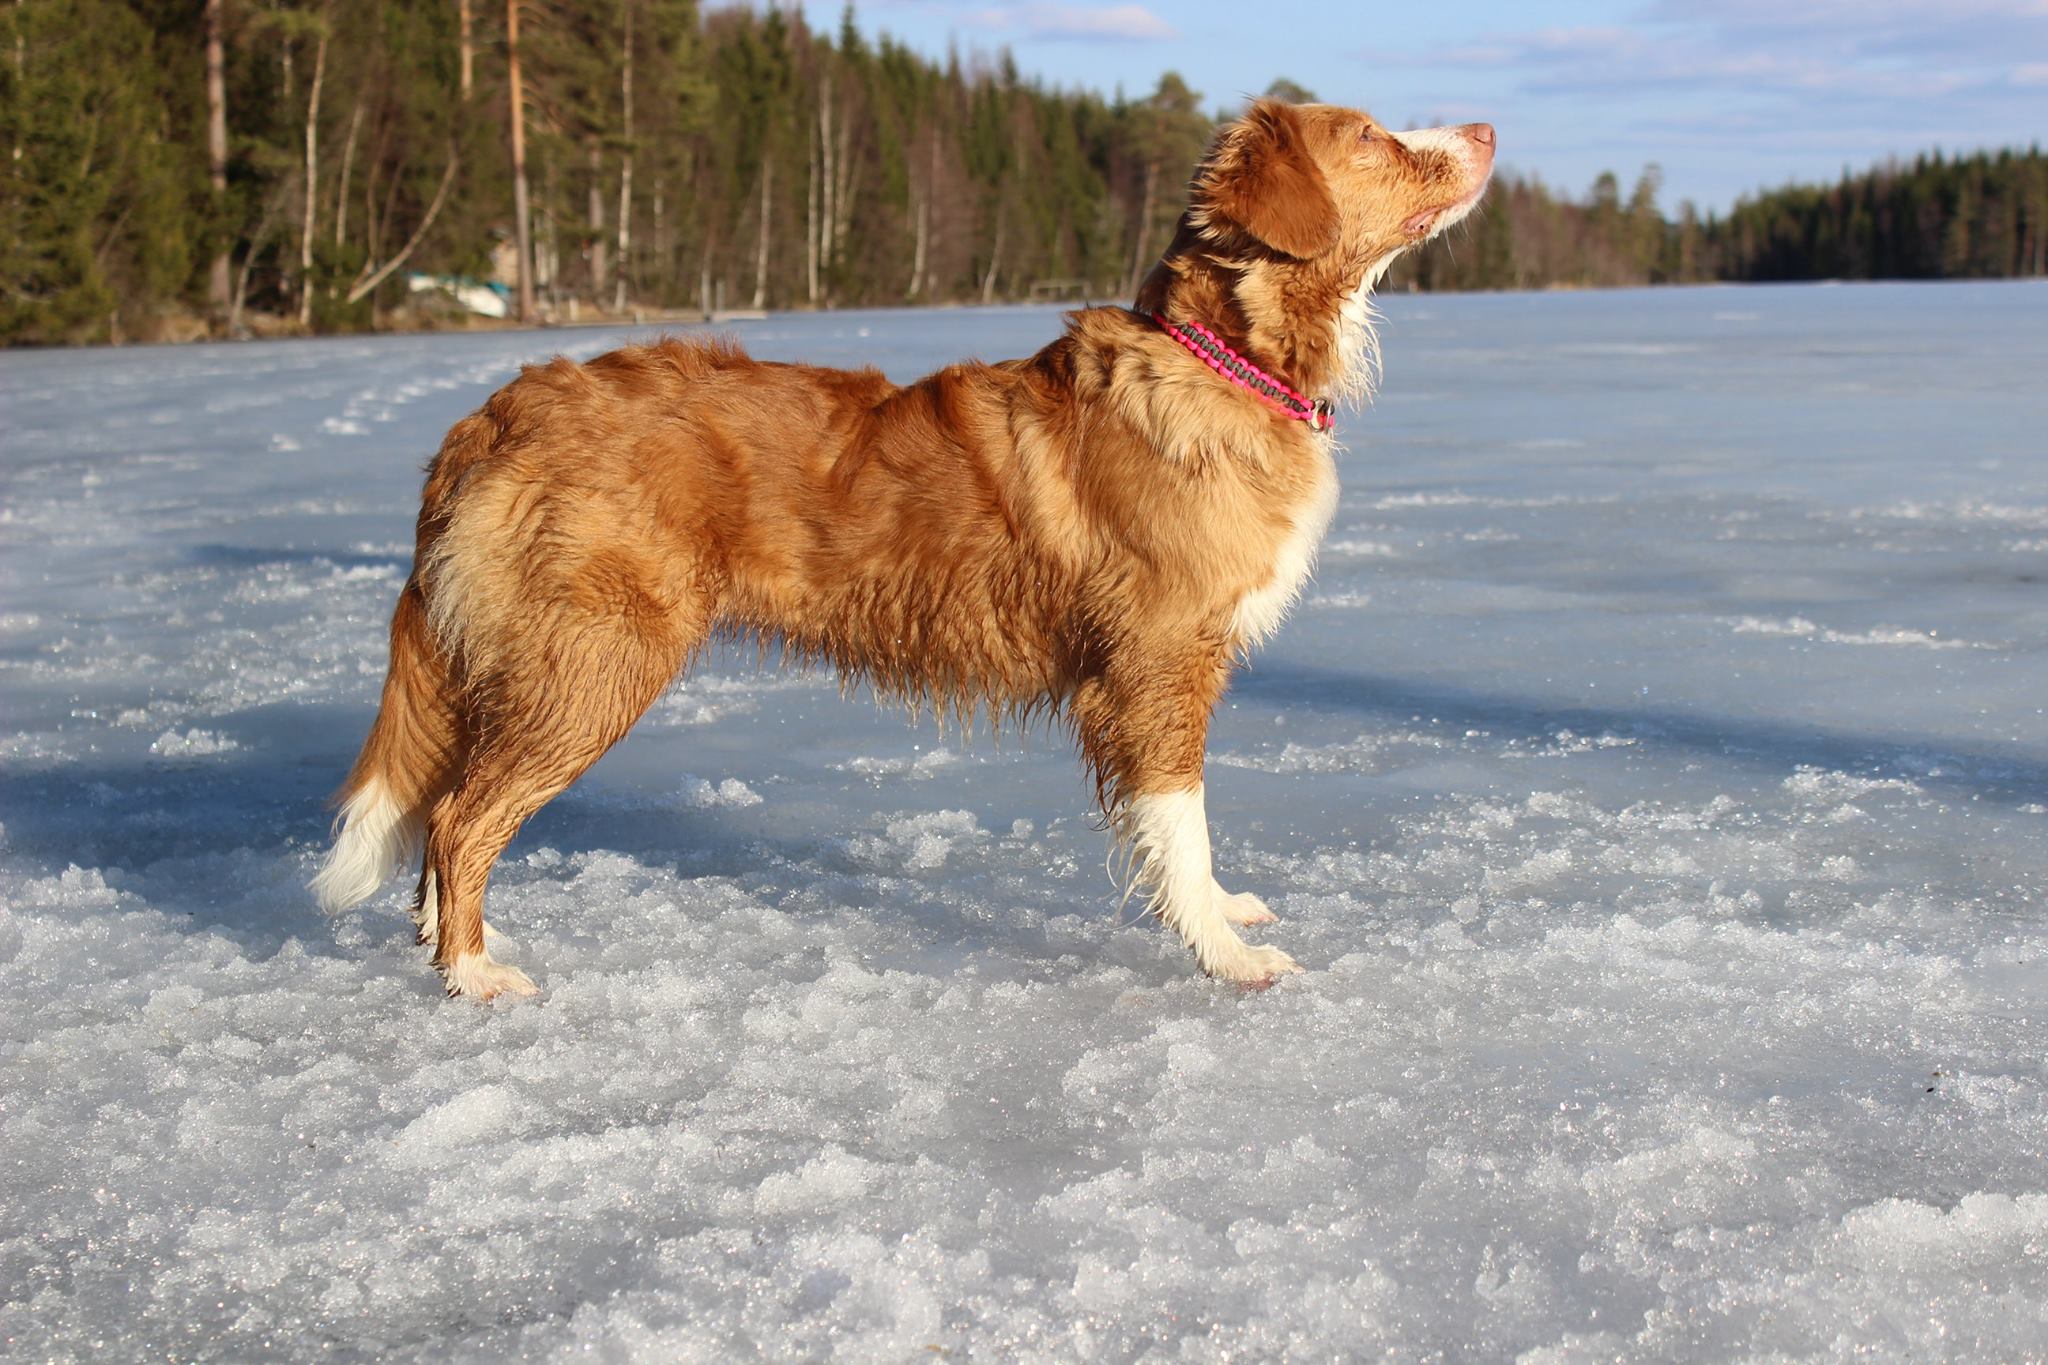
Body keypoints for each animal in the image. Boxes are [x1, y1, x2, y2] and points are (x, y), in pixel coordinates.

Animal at [311, 99, 1496, 999]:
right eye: (1369, 136)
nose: (1486, 127)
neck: (1224, 361)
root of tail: (495, 411)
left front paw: (1222, 913)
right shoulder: (1159, 666)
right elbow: (1180, 823)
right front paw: (1224, 955)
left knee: (446, 813)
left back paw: (455, 943)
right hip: (591, 662)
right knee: (461, 817)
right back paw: (473, 975)